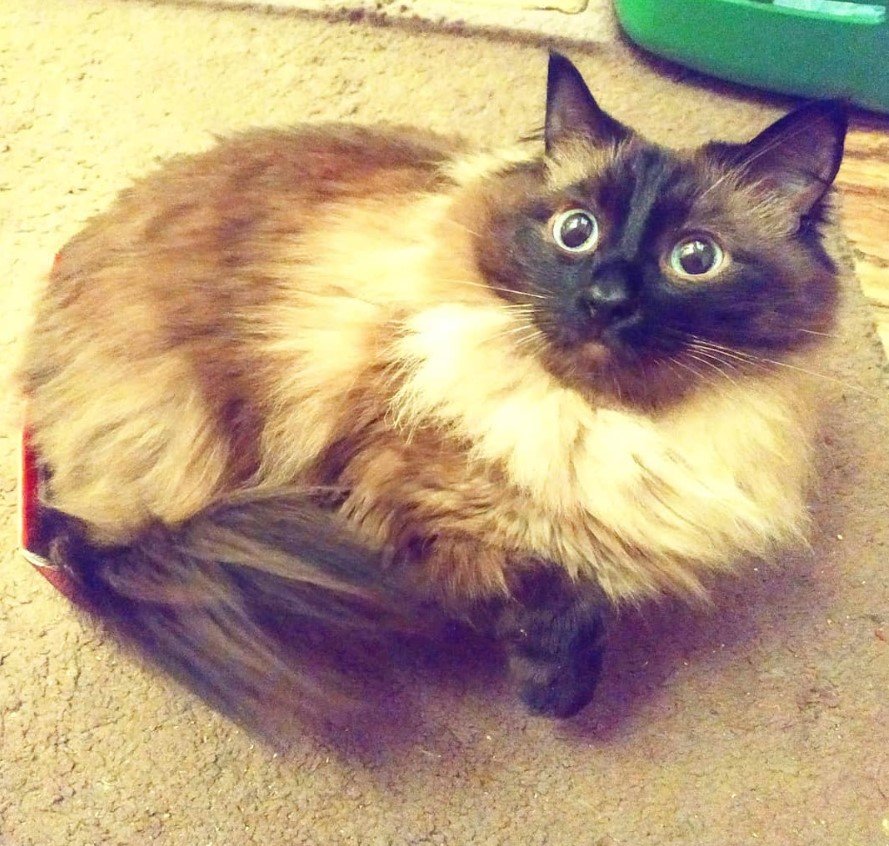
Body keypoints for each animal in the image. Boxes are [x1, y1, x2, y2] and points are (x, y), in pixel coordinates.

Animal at [15, 51, 848, 728]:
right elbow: (560, 591)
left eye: (694, 259)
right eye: (574, 231)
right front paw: (554, 689)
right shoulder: (405, 481)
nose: (606, 300)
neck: (607, 422)